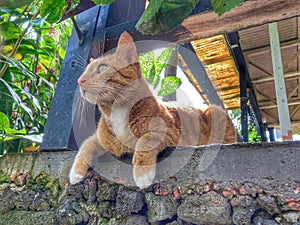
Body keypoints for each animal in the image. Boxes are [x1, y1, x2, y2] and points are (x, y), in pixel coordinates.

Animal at [69, 31, 236, 188]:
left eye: (102, 68)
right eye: (85, 71)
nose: (79, 80)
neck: (117, 112)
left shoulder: (169, 133)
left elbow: (145, 141)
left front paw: (142, 173)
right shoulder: (100, 139)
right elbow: (85, 145)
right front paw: (75, 172)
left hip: (216, 112)